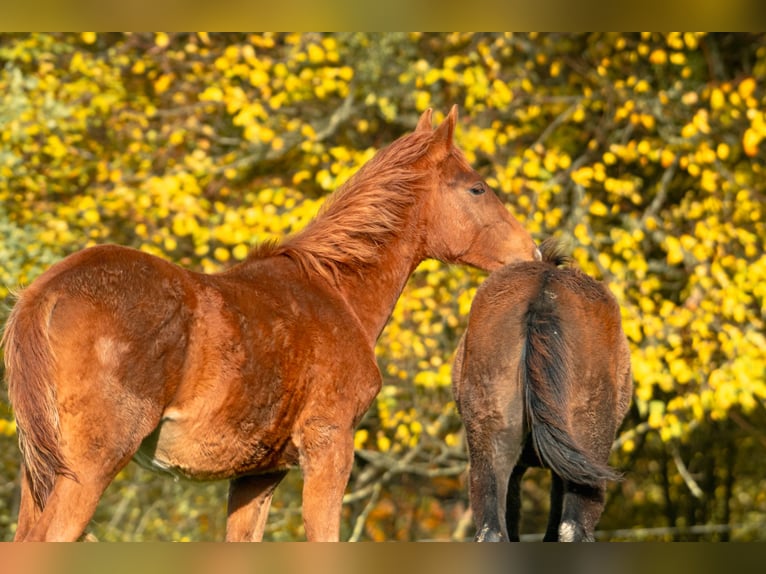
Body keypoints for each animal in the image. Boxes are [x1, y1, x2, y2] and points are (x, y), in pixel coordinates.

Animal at [1, 105, 540, 542]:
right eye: (476, 187)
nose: (531, 253)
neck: (334, 291)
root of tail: (45, 293)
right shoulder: (329, 447)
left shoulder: (257, 475)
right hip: (89, 467)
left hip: (42, 473)